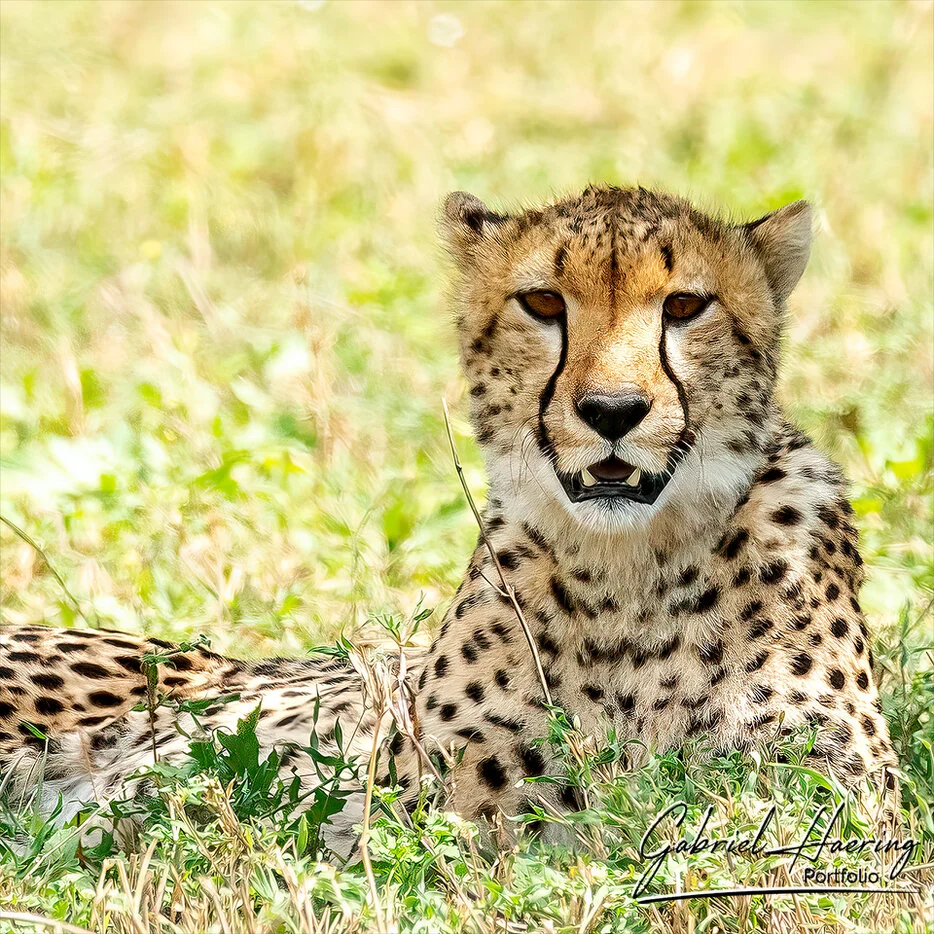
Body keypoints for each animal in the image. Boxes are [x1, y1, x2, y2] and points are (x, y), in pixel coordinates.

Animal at [0, 185, 898, 851]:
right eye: (542, 302)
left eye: (684, 306)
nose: (612, 411)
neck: (630, 572)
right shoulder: (415, 811)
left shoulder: (846, 797)